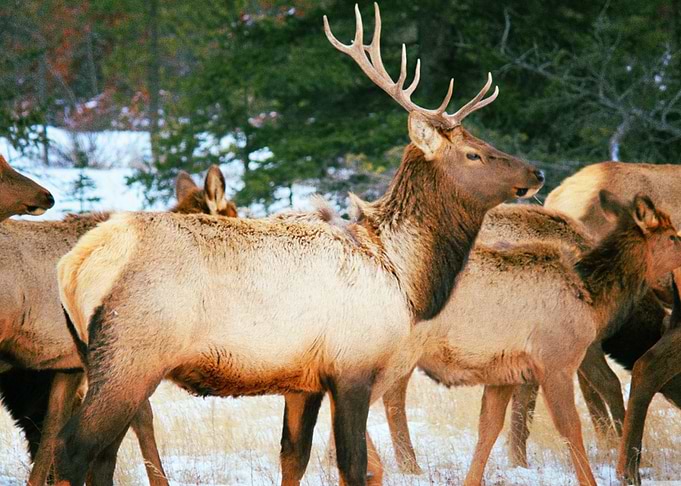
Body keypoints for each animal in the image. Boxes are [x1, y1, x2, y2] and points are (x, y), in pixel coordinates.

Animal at [51, 4, 543, 485]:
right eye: (473, 154)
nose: (536, 172)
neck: (404, 275)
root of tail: (73, 266)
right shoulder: (353, 367)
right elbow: (353, 465)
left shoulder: (302, 381)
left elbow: (294, 458)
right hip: (132, 356)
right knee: (72, 450)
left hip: (98, 358)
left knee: (102, 457)